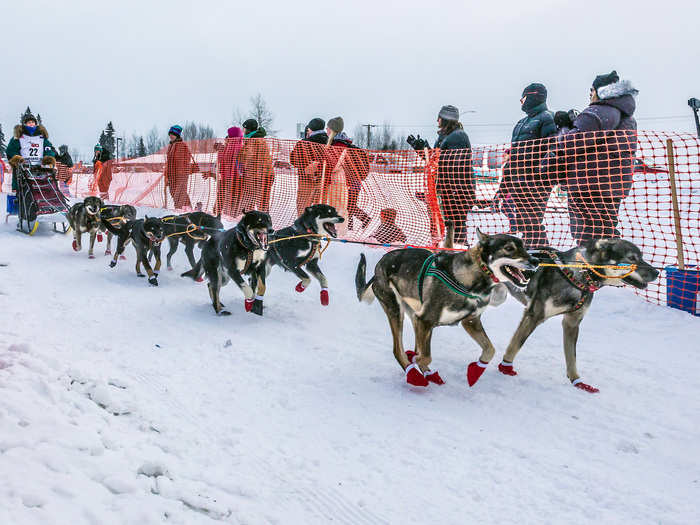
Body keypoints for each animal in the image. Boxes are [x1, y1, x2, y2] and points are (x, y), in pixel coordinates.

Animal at [356, 231, 536, 386]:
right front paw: (414, 362)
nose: (535, 261)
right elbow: (425, 356)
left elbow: (490, 349)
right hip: (397, 311)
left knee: (415, 347)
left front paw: (475, 371)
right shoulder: (426, 320)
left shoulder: (470, 321)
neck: (470, 278)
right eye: (509, 248)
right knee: (398, 350)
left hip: (415, 317)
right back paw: (413, 374)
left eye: (524, 246)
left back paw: (429, 374)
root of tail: (379, 265)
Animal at [500, 237, 660, 392]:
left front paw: (577, 382)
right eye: (632, 258)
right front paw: (505, 367)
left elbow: (572, 357)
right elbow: (515, 344)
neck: (580, 275)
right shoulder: (534, 315)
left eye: (641, 257)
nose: (657, 272)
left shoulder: (571, 323)